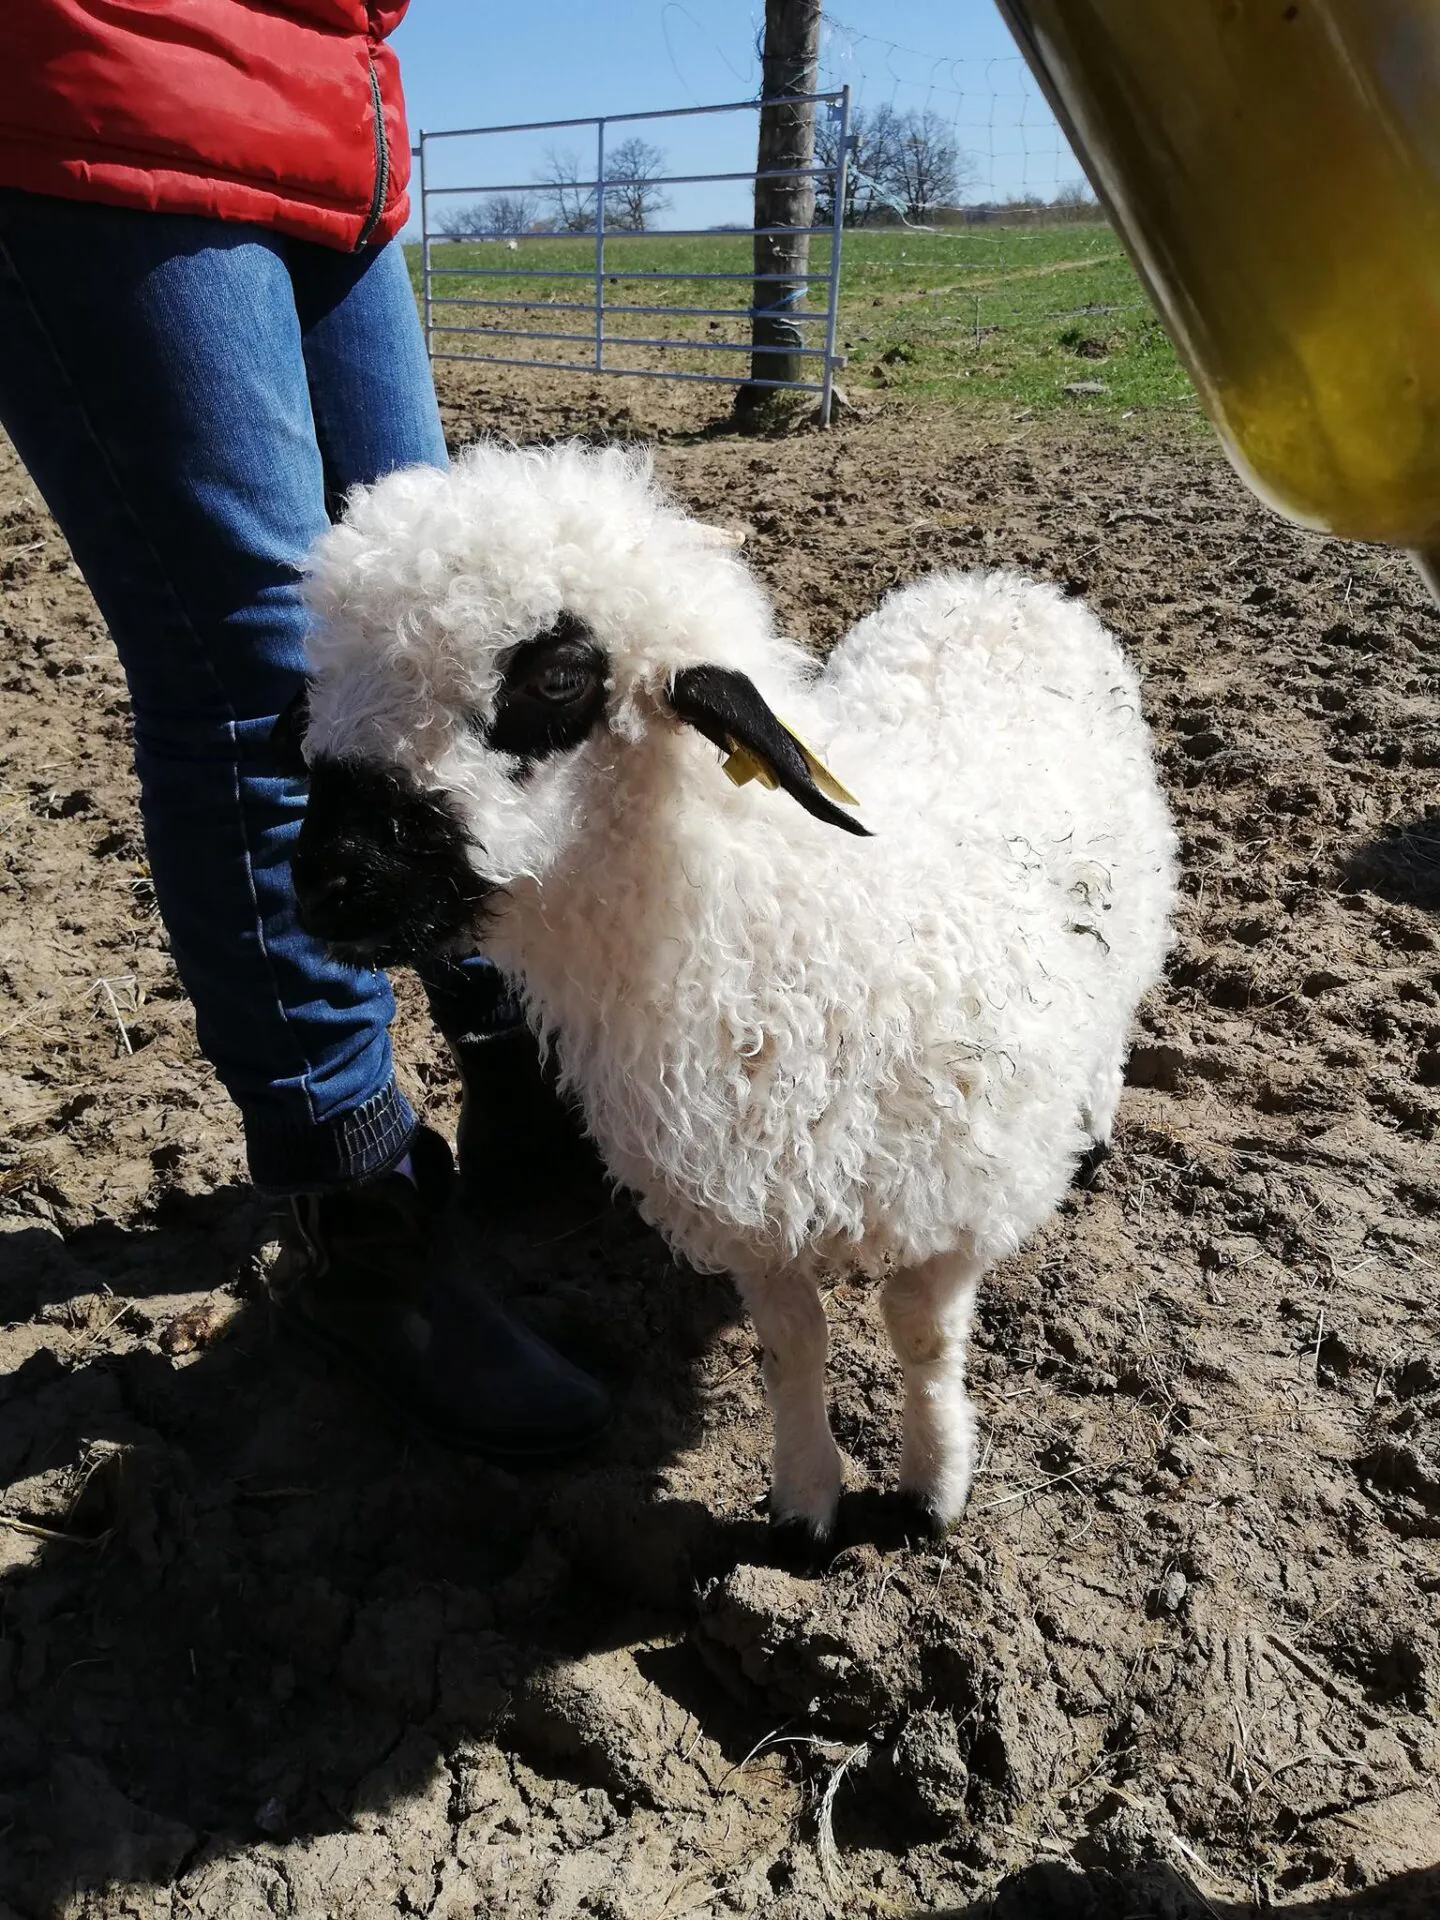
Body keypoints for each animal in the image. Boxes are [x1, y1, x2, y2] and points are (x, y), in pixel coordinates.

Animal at [278, 441, 1175, 1551]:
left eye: (557, 676)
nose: (326, 882)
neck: (789, 914)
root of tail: (997, 584)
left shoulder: (957, 1196)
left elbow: (921, 1337)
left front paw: (932, 1484)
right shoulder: (753, 1210)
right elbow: (795, 1344)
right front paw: (805, 1501)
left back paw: (1094, 1122)